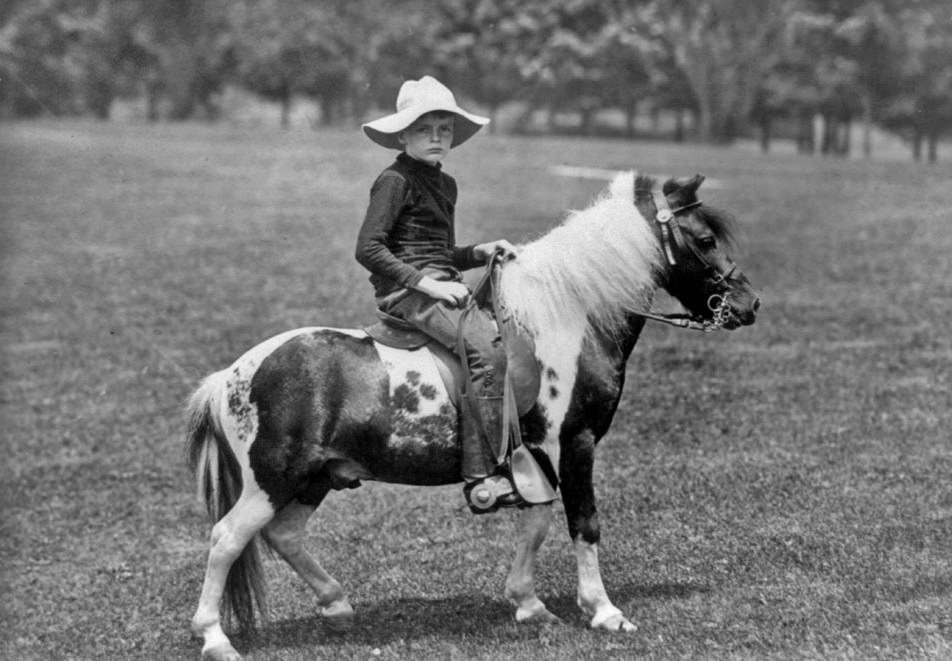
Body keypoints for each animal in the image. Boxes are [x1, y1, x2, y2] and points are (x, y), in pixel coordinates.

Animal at [184, 171, 760, 660]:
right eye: (705, 240)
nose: (749, 305)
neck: (567, 318)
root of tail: (231, 375)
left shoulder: (535, 456)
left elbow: (537, 521)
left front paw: (528, 603)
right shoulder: (574, 443)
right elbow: (584, 523)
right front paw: (603, 611)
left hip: (317, 477)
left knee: (284, 536)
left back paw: (337, 603)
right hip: (272, 480)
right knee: (227, 538)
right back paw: (214, 638)